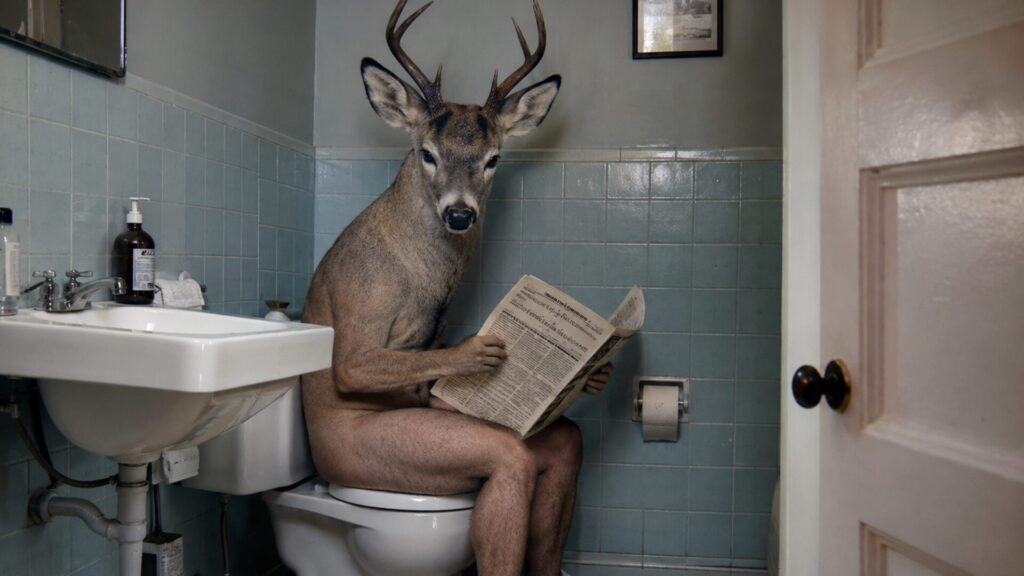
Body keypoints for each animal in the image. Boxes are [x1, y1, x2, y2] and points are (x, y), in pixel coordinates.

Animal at [301, 2, 609, 574]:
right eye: (426, 152)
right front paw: (476, 351)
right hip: (387, 456)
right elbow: (354, 361)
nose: (461, 214)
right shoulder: (364, 288)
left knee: (562, 441)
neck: (424, 276)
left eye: (493, 158)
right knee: (509, 458)